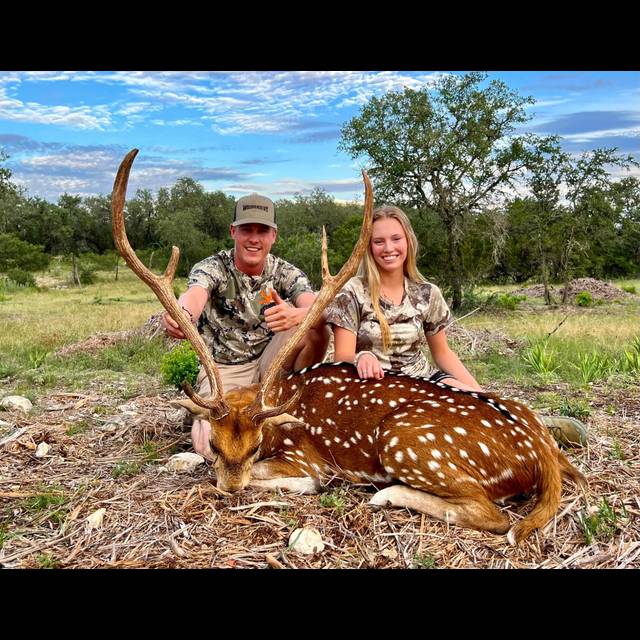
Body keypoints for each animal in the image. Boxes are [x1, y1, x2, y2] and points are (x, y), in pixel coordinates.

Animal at [112, 149, 586, 545]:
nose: (230, 490)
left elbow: (292, 477)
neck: (282, 406)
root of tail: (540, 454)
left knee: (495, 516)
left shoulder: (305, 458)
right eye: (214, 444)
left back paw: (388, 494)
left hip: (407, 440)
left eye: (254, 445)